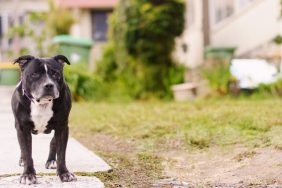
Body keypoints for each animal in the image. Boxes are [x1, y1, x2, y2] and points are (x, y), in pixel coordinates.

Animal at [11, 54, 76, 184]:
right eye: (34, 74)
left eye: (55, 74)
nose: (49, 85)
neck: (42, 103)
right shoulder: (22, 128)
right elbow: (26, 152)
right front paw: (28, 174)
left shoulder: (62, 127)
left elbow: (61, 153)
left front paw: (64, 173)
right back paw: (22, 160)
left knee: (53, 142)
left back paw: (51, 161)